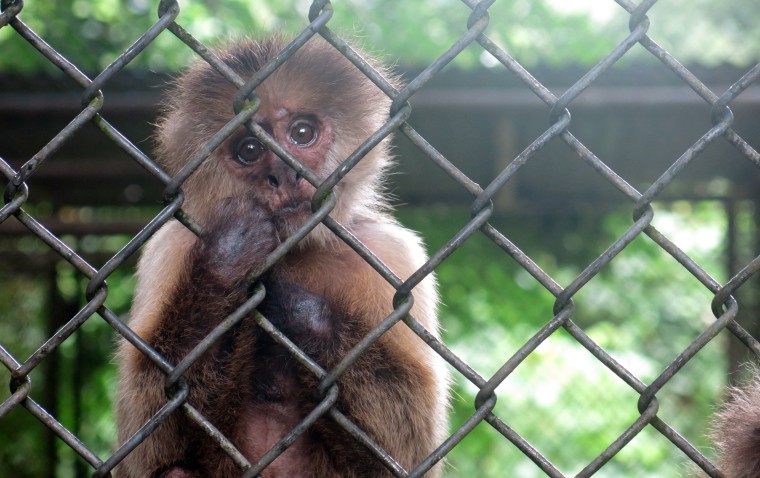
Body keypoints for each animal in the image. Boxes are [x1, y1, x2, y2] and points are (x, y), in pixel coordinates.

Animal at [116, 35, 448, 476]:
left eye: (301, 133)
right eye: (249, 150)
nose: (282, 175)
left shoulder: (392, 253)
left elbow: (408, 453)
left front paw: (293, 307)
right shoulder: (171, 245)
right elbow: (145, 445)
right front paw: (227, 260)